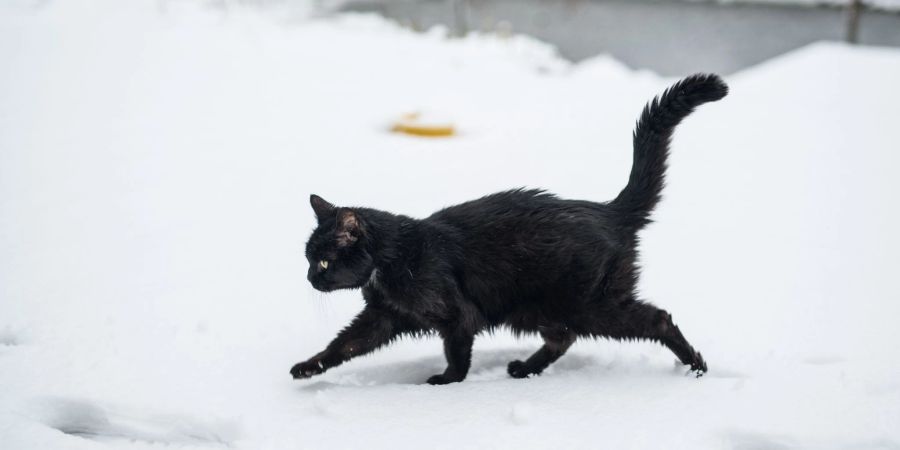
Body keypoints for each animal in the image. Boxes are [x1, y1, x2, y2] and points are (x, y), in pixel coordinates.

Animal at [292, 73, 728, 384]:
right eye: (308, 260)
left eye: (324, 262)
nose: (309, 279)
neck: (391, 259)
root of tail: (609, 210)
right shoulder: (383, 315)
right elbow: (346, 344)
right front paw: (308, 367)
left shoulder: (456, 313)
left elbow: (457, 351)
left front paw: (446, 383)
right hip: (542, 307)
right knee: (563, 336)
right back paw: (524, 370)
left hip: (589, 303)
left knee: (657, 319)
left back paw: (697, 366)